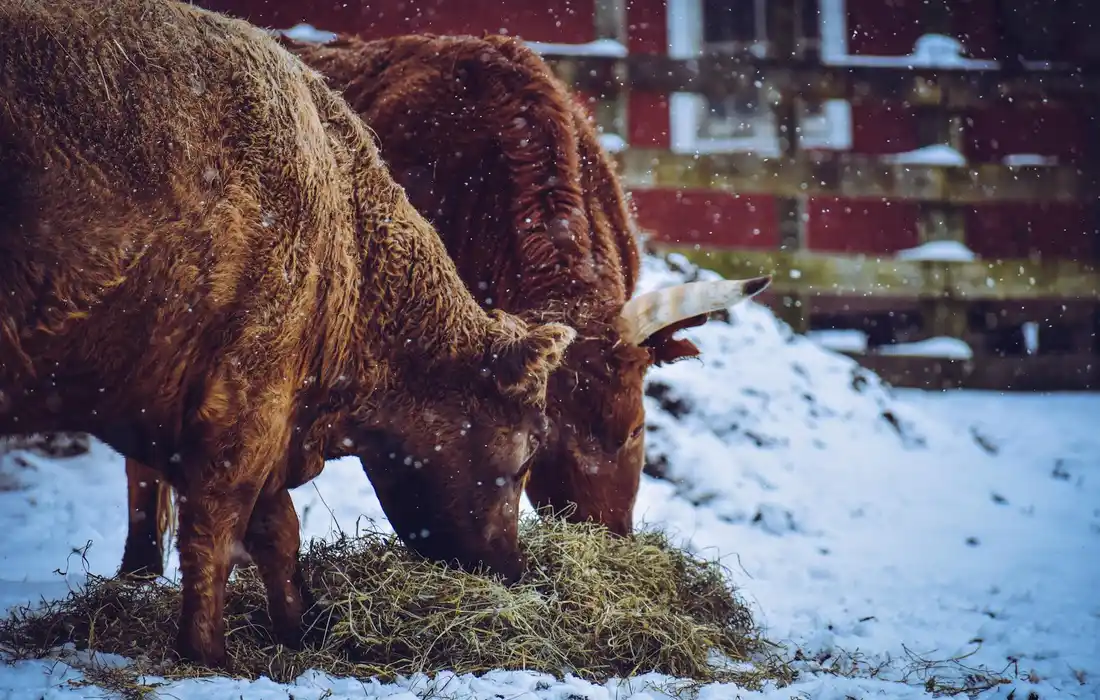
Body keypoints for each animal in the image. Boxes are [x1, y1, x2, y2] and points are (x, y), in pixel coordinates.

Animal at [0, 0, 577, 668]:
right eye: (528, 452)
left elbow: (279, 532)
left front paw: (302, 629)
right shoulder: (247, 404)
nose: (514, 571)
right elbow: (218, 531)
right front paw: (207, 653)